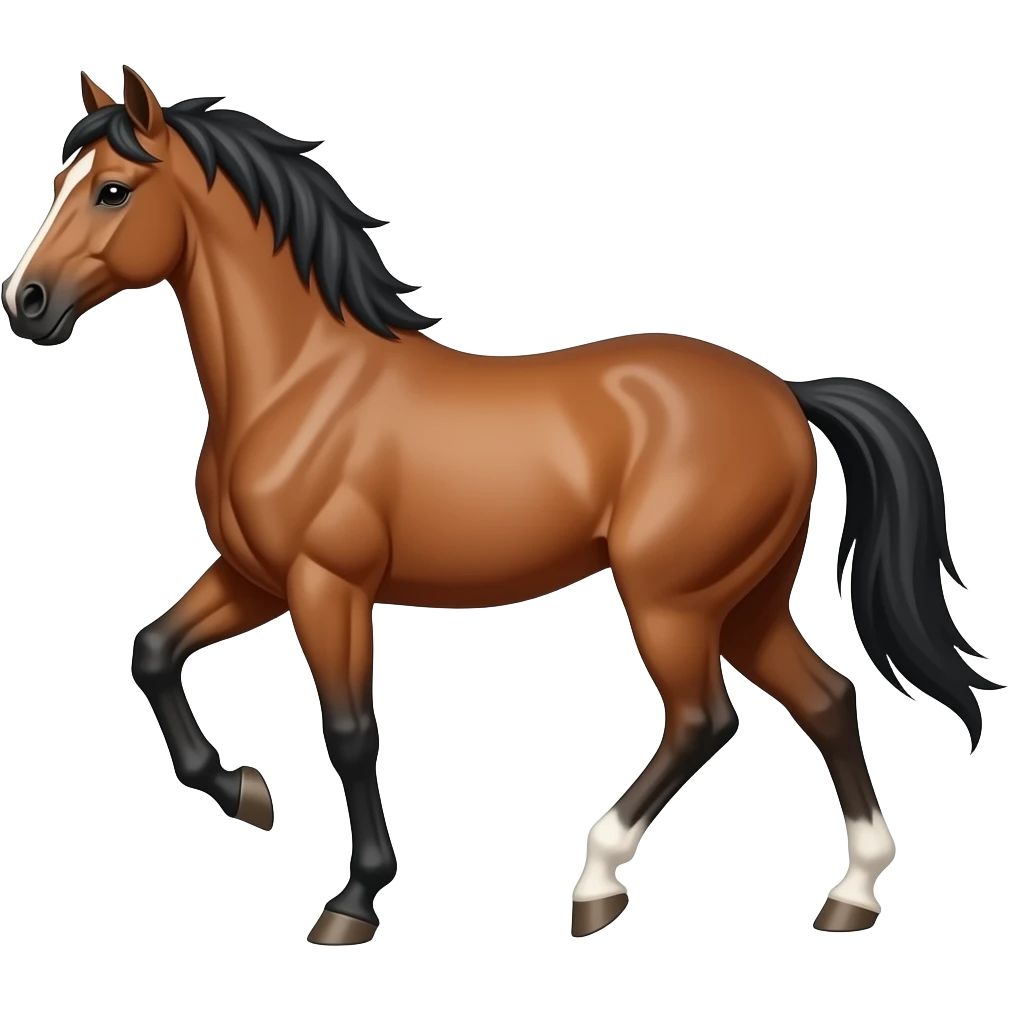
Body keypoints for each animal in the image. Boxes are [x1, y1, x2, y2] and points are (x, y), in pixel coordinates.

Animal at [3, 66, 999, 946]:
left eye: (114, 191)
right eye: (59, 182)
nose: (27, 303)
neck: (298, 383)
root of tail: (786, 394)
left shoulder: (329, 585)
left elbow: (350, 730)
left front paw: (352, 901)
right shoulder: (258, 578)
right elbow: (153, 650)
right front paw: (245, 792)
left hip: (670, 598)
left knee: (704, 719)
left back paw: (596, 882)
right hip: (745, 601)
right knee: (827, 698)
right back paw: (850, 897)